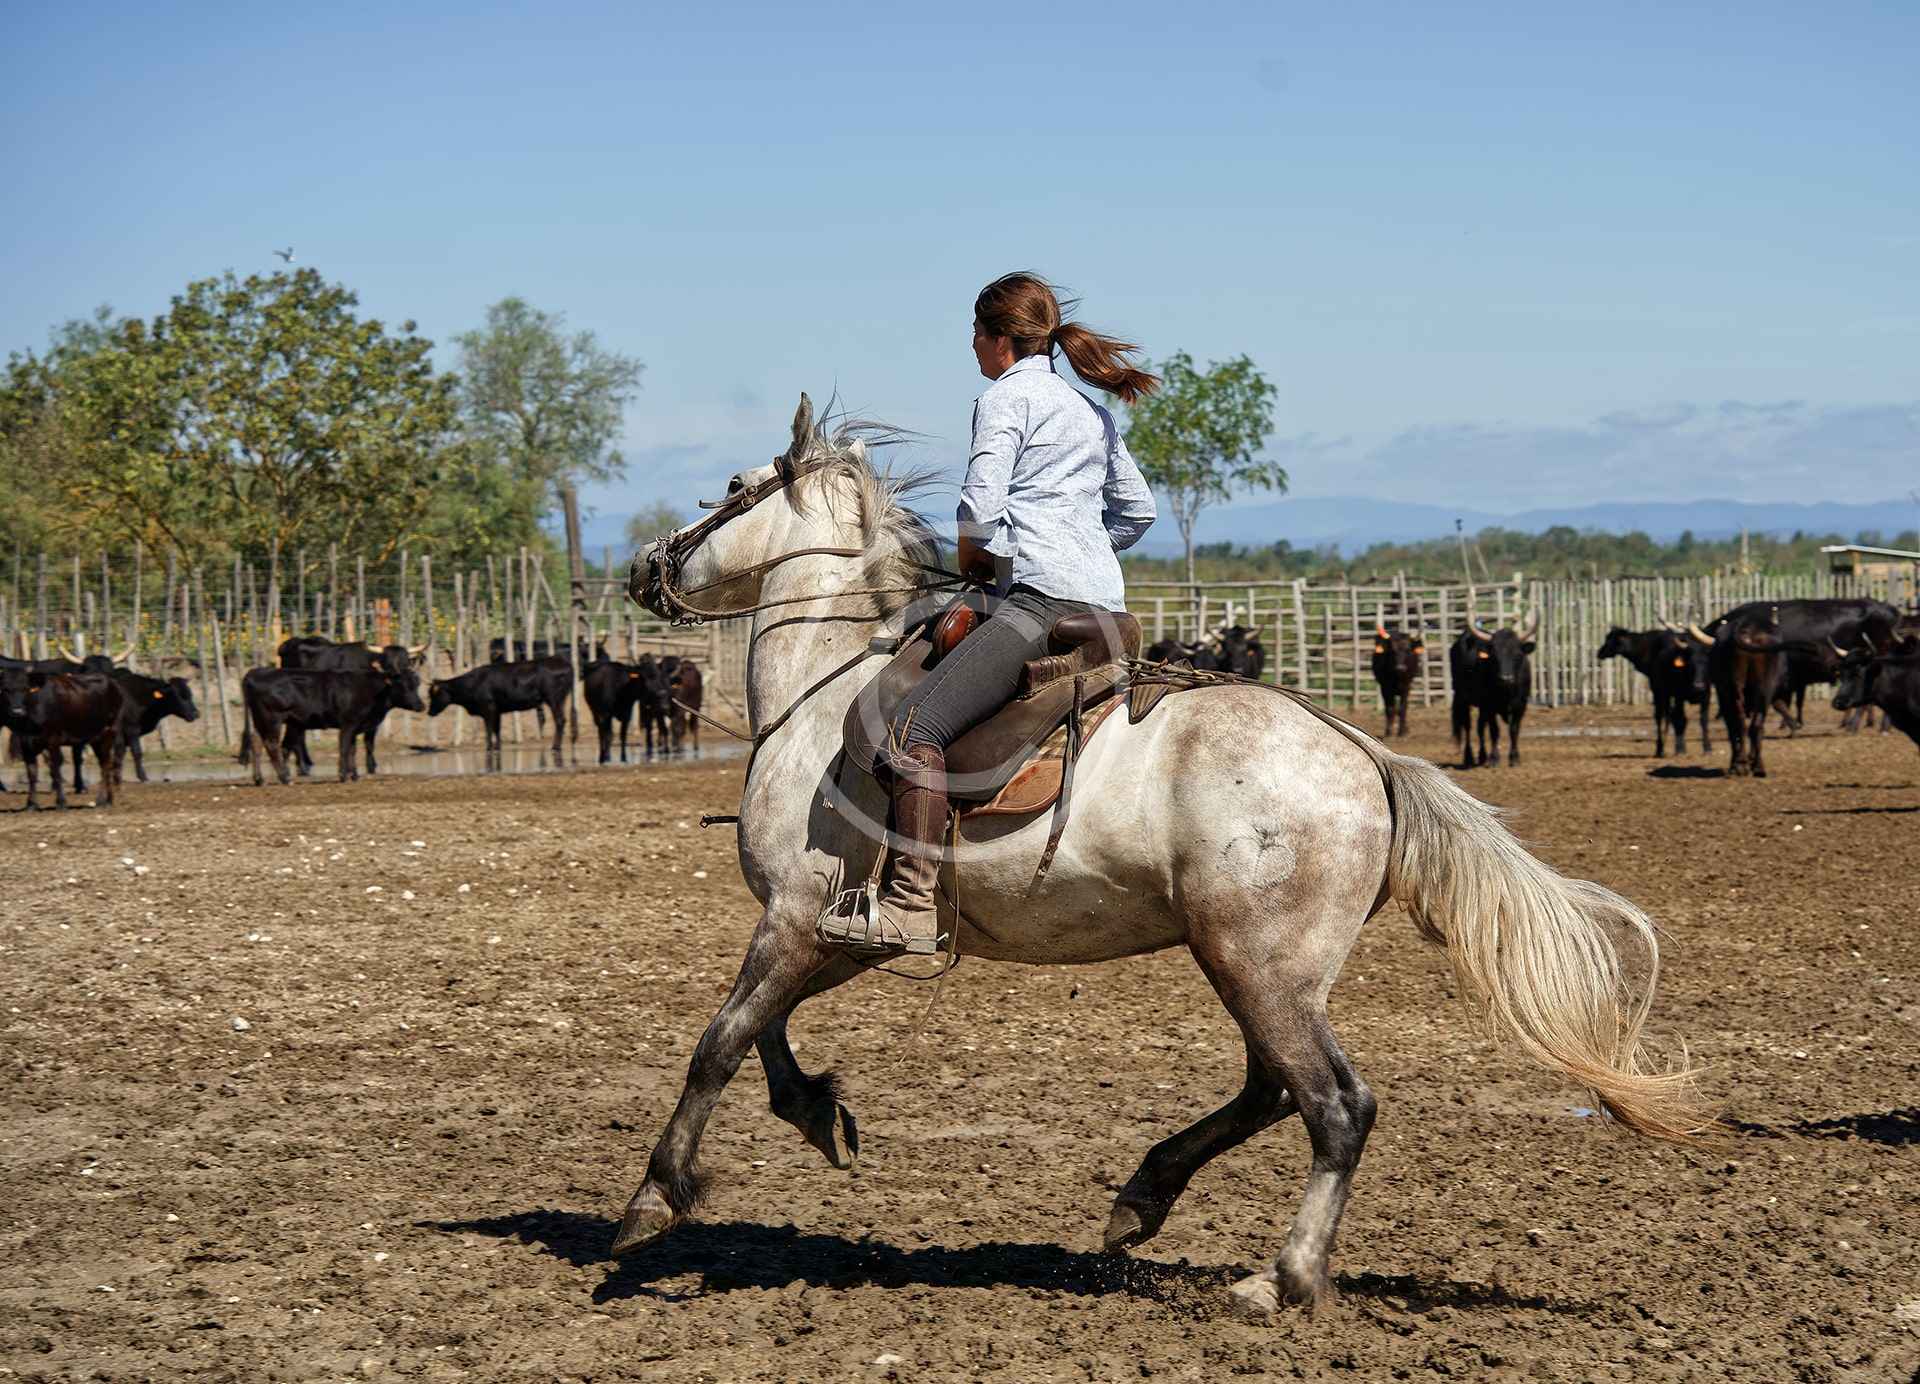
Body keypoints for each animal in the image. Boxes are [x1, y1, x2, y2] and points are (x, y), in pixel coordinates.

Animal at [614, 394, 1713, 1317]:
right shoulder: (834, 931)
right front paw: (817, 1114)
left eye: (729, 489)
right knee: (1273, 1089)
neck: (826, 689)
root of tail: (1367, 756)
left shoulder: (797, 916)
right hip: (1261, 967)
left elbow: (721, 1038)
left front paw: (653, 1198)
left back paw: (1281, 1279)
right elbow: (764, 1035)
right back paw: (1143, 1197)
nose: (642, 567)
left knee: (1334, 1106)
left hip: (1254, 963)